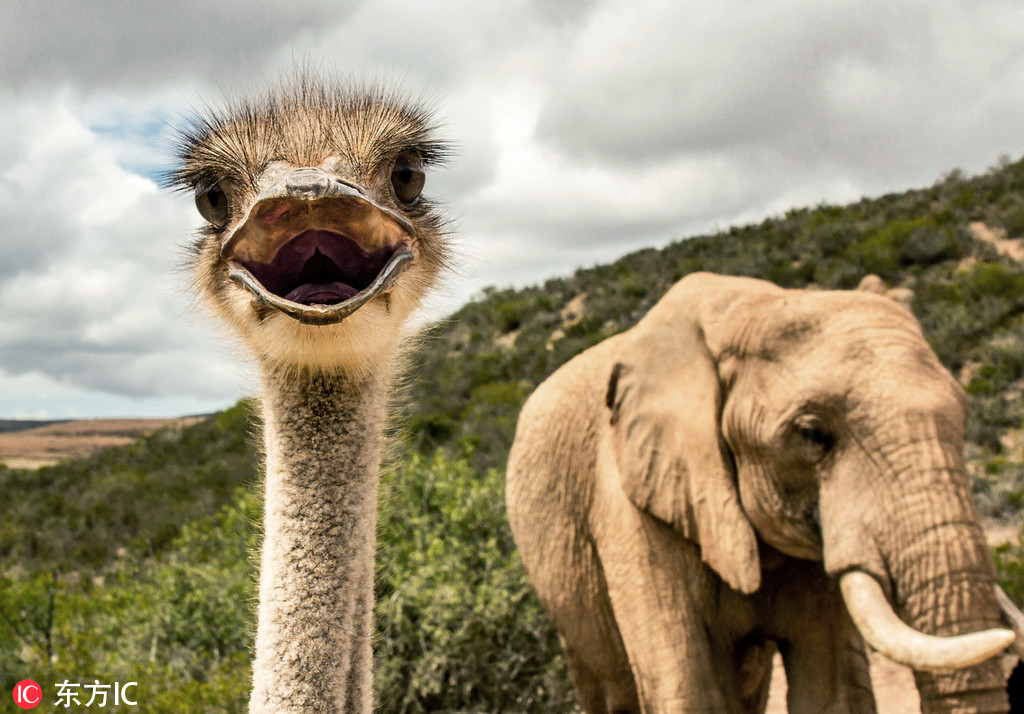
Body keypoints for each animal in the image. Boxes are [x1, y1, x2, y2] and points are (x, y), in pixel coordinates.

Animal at [503, 270, 1024, 708]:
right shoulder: (631, 508)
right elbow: (688, 689)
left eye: (962, 416)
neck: (753, 306)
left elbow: (832, 691)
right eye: (811, 434)